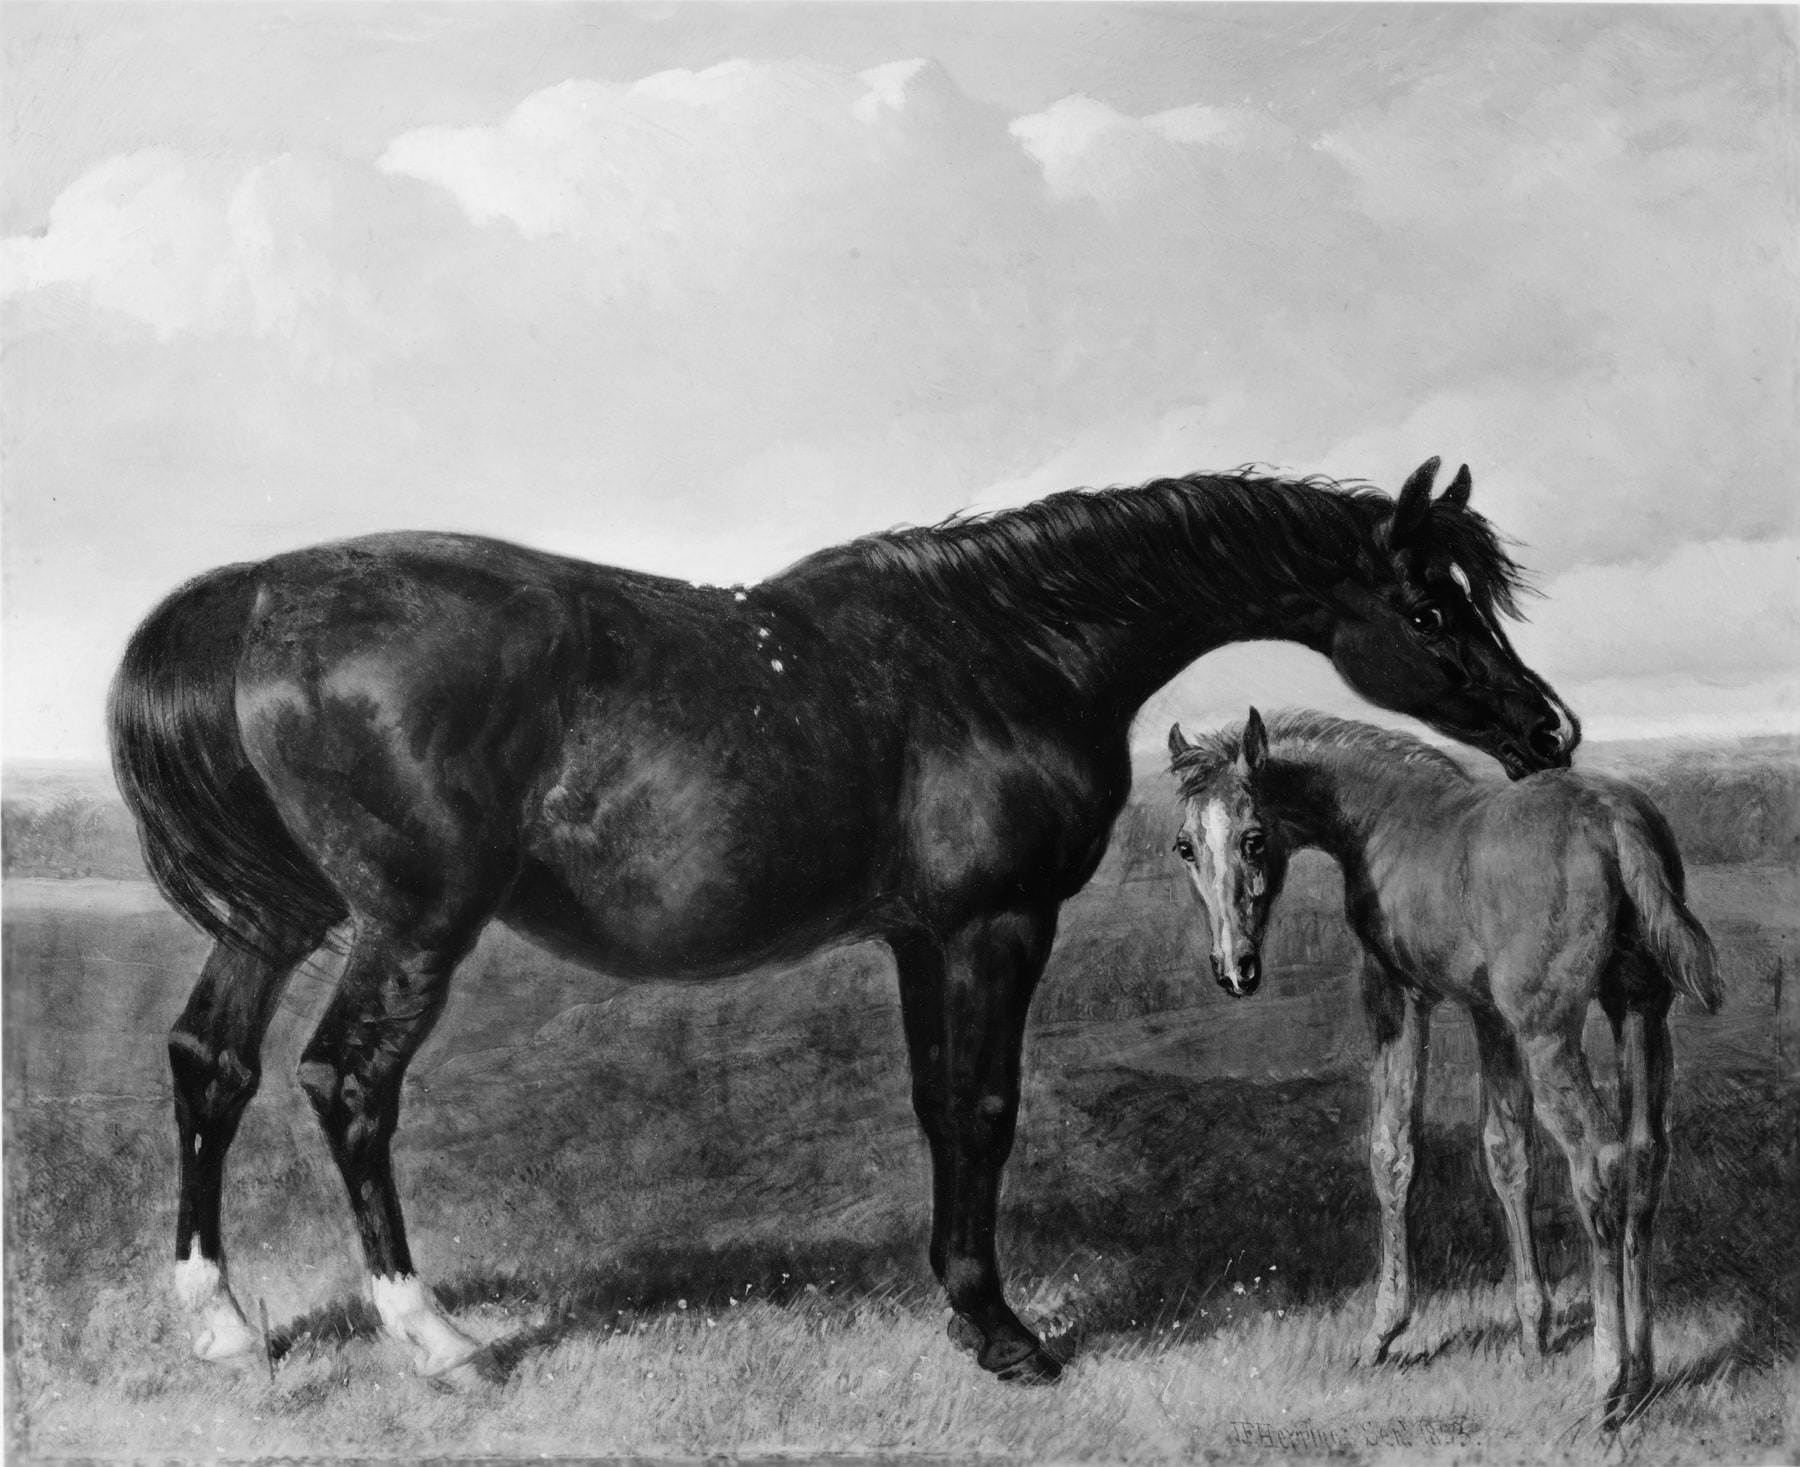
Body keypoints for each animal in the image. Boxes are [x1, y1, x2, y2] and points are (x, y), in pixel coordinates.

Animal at [110, 457, 1577, 1389]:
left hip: (277, 920)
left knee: (211, 1066)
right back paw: (435, 1339)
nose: (1549, 730)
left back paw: (226, 1324)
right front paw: (1006, 1333)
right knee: (344, 1082)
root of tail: (257, 595)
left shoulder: (924, 936)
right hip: (410, 923)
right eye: (1431, 604)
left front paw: (961, 1308)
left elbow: (936, 1106)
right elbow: (984, 1106)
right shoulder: (994, 924)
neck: (1001, 646)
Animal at [1166, 708, 1721, 1425]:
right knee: (1648, 1153)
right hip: (1640, 1009)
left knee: (1598, 1158)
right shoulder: (1490, 1015)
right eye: (1185, 846)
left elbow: (1392, 1150)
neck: (1388, 818)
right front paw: (1533, 1333)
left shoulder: (1397, 996)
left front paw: (1382, 1331)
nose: (1235, 969)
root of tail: (1612, 816)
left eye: (1254, 838)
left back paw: (1608, 1383)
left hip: (1549, 1033)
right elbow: (1507, 1154)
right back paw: (1644, 1373)